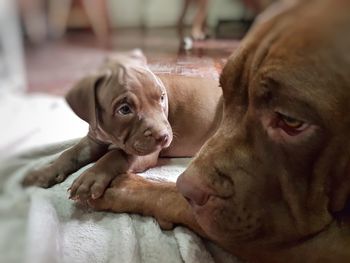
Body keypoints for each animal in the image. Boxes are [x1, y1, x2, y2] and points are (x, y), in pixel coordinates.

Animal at [23, 50, 221, 202]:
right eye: (124, 109)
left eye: (162, 97)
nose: (164, 136)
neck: (110, 135)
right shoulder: (93, 140)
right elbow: (69, 153)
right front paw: (47, 171)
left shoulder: (146, 152)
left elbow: (116, 155)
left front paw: (91, 177)